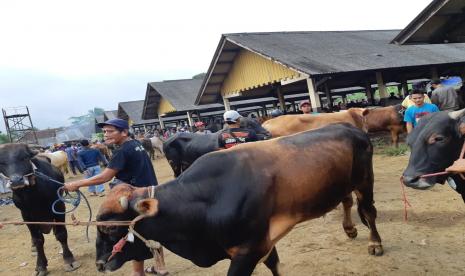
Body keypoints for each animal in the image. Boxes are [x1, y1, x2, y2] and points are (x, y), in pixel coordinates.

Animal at [0, 143, 80, 274]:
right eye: (1, 162)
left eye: (24, 157)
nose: (16, 180)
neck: (33, 195)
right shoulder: (26, 215)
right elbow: (38, 240)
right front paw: (41, 265)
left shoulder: (59, 207)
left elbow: (62, 234)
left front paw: (69, 260)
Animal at [96, 123, 382, 276]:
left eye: (110, 229)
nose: (100, 263)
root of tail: (349, 126)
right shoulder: (262, 242)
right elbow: (275, 265)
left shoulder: (247, 250)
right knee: (347, 202)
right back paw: (350, 229)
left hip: (365, 180)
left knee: (368, 211)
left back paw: (374, 243)